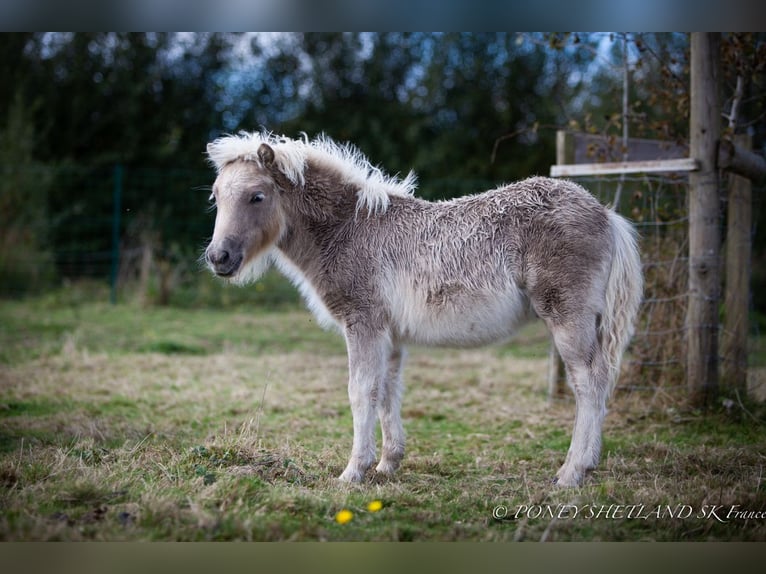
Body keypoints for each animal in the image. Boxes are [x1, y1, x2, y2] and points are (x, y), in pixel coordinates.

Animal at [202, 133, 640, 488]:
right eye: (216, 195)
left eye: (257, 196)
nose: (218, 257)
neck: (350, 229)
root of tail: (606, 213)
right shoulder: (390, 336)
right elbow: (386, 392)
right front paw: (386, 464)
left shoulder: (363, 323)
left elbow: (359, 391)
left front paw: (352, 472)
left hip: (568, 316)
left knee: (590, 381)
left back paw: (572, 472)